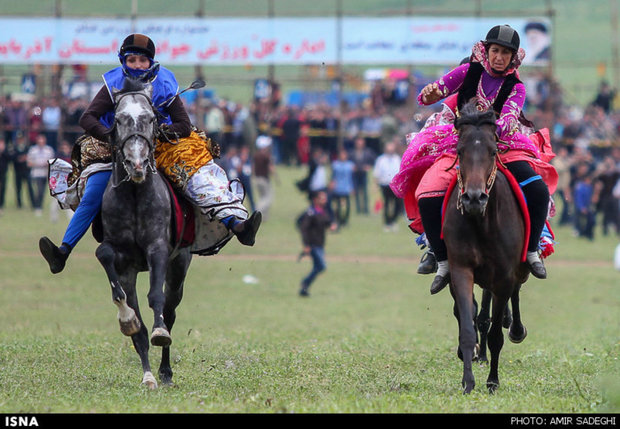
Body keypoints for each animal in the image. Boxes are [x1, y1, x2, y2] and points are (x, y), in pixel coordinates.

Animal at [94, 77, 190, 388]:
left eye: (150, 119)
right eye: (119, 119)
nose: (136, 164)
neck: (136, 193)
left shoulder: (158, 248)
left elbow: (156, 298)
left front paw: (160, 334)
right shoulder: (124, 262)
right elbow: (119, 289)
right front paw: (128, 321)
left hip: (179, 265)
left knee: (170, 311)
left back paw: (165, 370)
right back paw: (150, 374)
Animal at [440, 99, 528, 392]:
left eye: (492, 151)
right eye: (459, 150)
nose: (474, 198)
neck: (482, 222)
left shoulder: (503, 275)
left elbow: (496, 335)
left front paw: (492, 381)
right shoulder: (461, 269)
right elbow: (467, 324)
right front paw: (468, 381)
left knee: (515, 293)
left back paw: (515, 328)